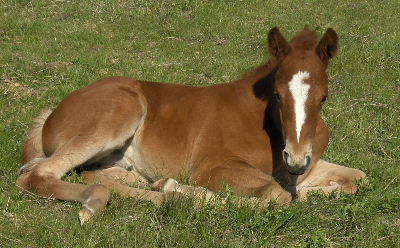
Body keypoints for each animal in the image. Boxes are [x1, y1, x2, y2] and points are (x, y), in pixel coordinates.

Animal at [15, 27, 366, 225]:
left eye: (324, 96)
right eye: (278, 94)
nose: (295, 160)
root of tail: (52, 113)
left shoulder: (310, 167)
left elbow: (355, 179)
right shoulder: (213, 167)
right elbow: (276, 194)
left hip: (112, 160)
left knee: (96, 176)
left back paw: (164, 189)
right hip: (117, 115)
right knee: (38, 175)